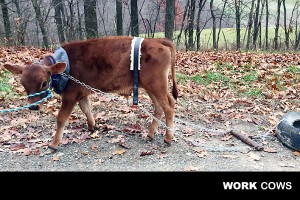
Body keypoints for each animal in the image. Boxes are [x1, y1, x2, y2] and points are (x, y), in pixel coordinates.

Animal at [4, 36, 178, 152]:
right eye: (23, 84)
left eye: (44, 83)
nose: (33, 107)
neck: (65, 69)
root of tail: (157, 40)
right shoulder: (82, 93)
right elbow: (86, 109)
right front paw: (92, 126)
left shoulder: (70, 94)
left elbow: (61, 118)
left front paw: (53, 144)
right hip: (149, 86)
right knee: (159, 107)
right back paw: (150, 134)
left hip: (157, 84)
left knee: (169, 106)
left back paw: (168, 137)